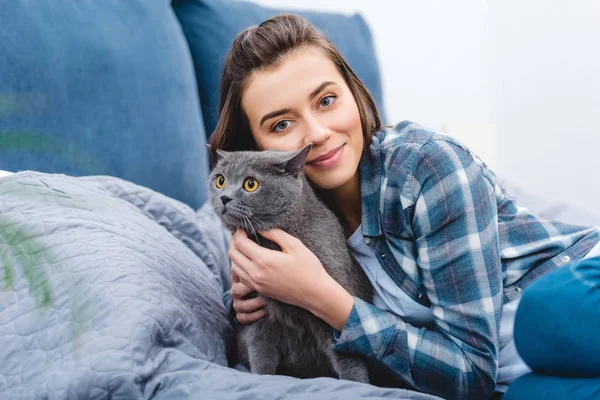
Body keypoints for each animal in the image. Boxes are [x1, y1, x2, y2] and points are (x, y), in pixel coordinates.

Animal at [209, 145, 372, 382]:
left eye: (251, 184)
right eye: (220, 180)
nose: (224, 197)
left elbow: (347, 355)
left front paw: (358, 384)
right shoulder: (259, 311)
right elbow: (261, 352)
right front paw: (264, 380)